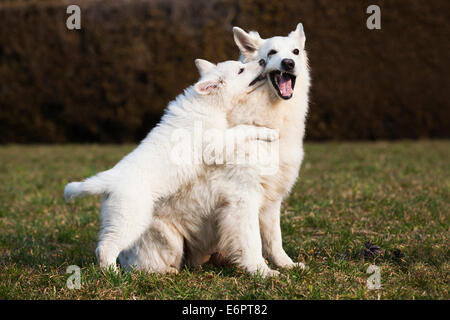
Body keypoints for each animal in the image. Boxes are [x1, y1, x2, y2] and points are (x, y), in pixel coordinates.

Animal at [63, 58, 274, 270]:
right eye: (241, 70)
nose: (262, 60)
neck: (207, 104)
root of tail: (109, 180)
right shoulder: (215, 144)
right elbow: (241, 129)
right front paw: (267, 132)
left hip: (115, 217)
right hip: (131, 219)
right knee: (107, 248)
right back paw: (112, 273)